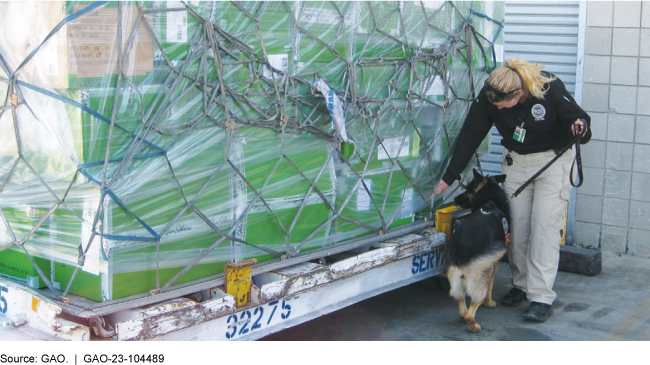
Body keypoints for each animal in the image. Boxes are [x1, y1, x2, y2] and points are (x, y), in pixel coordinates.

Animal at [442, 168, 508, 332]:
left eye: (468, 190)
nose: (456, 199)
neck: (489, 202)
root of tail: (461, 253)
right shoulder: (494, 264)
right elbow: (491, 287)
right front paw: (490, 304)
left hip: (457, 281)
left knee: (461, 304)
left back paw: (463, 318)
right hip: (481, 276)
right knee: (472, 309)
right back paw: (474, 326)